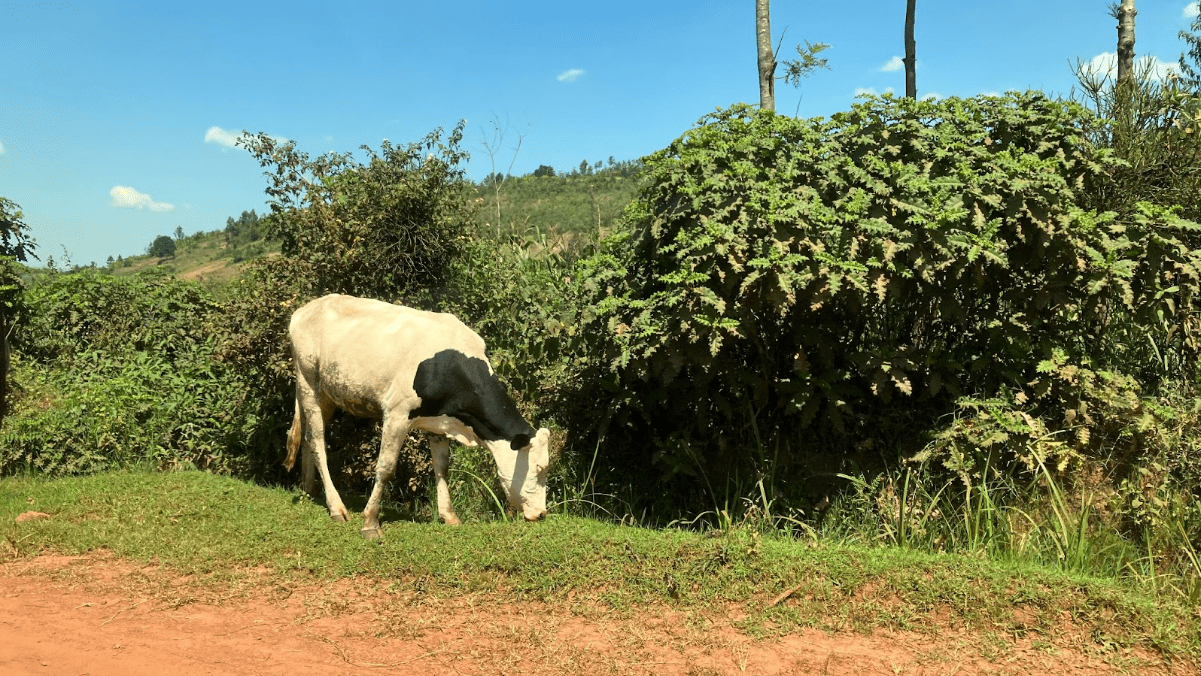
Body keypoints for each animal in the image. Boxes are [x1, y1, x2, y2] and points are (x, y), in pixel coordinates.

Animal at [283, 294, 550, 542]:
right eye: (539, 469)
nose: (541, 514)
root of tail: (309, 307)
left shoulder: (439, 420)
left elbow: (442, 466)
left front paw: (449, 516)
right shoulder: (397, 413)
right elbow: (386, 467)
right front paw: (370, 523)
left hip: (328, 392)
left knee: (306, 436)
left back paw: (309, 490)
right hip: (308, 380)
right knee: (317, 439)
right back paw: (336, 507)